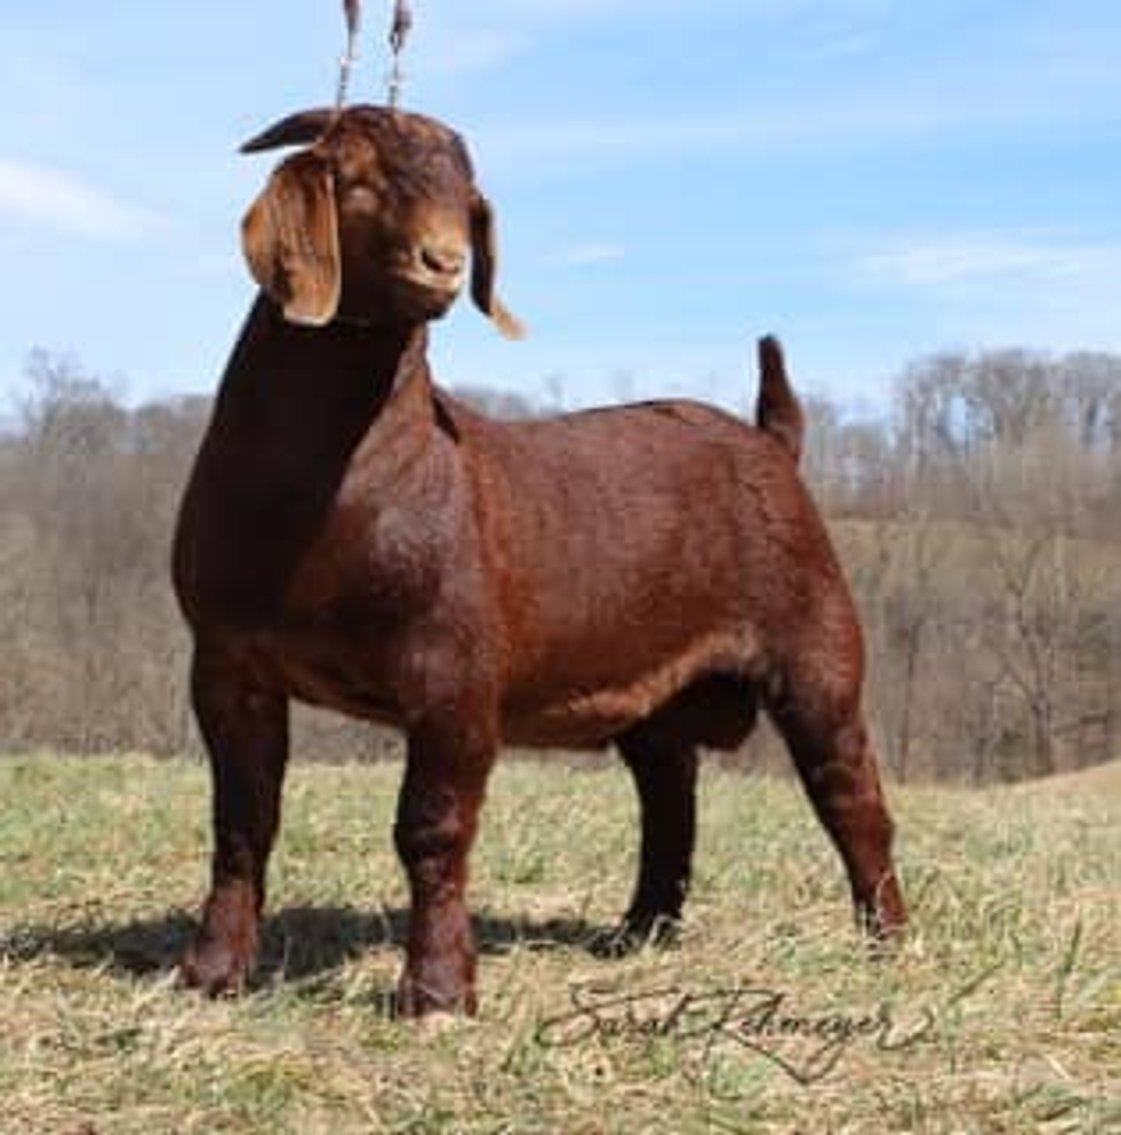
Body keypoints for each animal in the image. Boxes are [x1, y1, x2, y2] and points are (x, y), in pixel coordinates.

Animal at [172, 105, 906, 1016]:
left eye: (468, 201)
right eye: (357, 179)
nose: (443, 262)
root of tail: (772, 442)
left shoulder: (453, 676)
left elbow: (432, 826)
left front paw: (437, 991)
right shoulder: (226, 658)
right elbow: (242, 819)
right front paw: (210, 970)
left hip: (814, 644)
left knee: (849, 788)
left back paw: (886, 940)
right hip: (655, 688)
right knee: (669, 793)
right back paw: (639, 932)